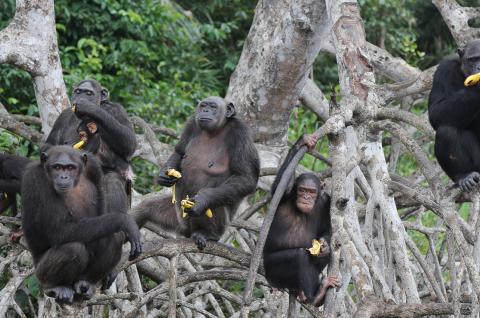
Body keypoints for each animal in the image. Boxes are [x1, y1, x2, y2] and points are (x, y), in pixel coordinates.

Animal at [21, 146, 142, 304]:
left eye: (70, 168)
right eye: (57, 167)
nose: (63, 177)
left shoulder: (93, 166)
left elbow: (103, 210)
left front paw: (111, 272)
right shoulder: (37, 179)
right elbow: (59, 231)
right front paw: (125, 221)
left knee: (113, 236)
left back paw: (86, 282)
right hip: (39, 272)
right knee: (73, 248)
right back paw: (55, 287)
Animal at [43, 79, 136, 214]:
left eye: (88, 93)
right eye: (78, 92)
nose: (80, 98)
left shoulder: (117, 110)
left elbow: (130, 143)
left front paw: (90, 108)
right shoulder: (63, 116)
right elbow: (50, 144)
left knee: (112, 179)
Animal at [131, 95, 260, 250]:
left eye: (213, 107)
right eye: (203, 105)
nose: (205, 110)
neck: (216, 130)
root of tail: (187, 232)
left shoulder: (241, 134)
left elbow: (246, 178)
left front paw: (202, 199)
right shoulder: (191, 124)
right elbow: (179, 152)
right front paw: (163, 176)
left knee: (214, 204)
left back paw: (207, 233)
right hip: (178, 220)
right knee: (146, 208)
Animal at [264, 134, 340, 306]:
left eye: (311, 192)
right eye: (302, 190)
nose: (306, 198)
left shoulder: (326, 201)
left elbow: (327, 229)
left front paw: (324, 246)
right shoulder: (285, 195)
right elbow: (280, 187)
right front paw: (303, 142)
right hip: (271, 272)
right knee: (299, 255)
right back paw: (315, 296)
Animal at [428, 38, 480, 190]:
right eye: (473, 59)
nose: (479, 68)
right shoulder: (444, 69)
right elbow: (435, 111)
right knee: (446, 131)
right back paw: (464, 176)